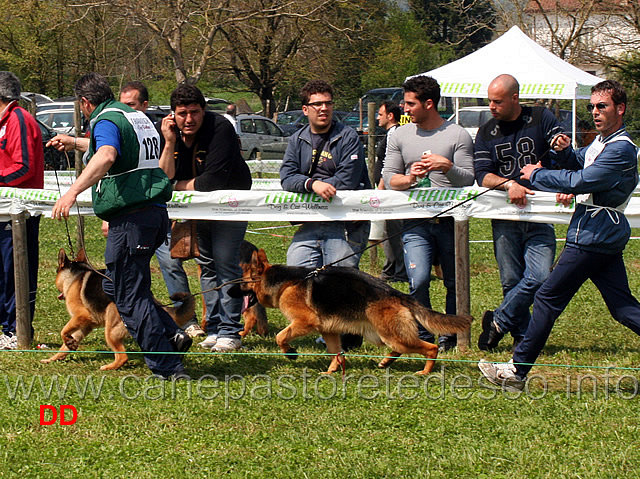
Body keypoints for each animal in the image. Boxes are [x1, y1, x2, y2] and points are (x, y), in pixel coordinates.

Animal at [42, 249, 195, 370]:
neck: (74, 276)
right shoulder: (85, 325)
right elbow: (66, 344)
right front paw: (54, 357)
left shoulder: (81, 316)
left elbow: (63, 331)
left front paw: (66, 342)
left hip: (111, 330)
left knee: (123, 356)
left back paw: (110, 367)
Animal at [238, 249, 472, 376]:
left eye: (242, 282)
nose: (231, 289)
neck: (285, 282)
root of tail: (396, 293)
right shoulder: (329, 331)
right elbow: (336, 352)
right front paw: (331, 371)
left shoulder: (305, 322)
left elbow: (280, 336)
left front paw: (291, 353)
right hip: (384, 336)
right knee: (399, 349)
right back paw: (386, 362)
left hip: (391, 335)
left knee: (430, 348)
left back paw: (425, 371)